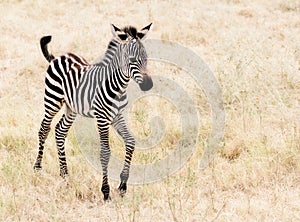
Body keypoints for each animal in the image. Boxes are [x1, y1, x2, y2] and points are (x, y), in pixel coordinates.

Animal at [34, 23, 154, 200]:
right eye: (132, 60)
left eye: (146, 58)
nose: (148, 85)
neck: (118, 87)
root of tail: (58, 57)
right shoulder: (102, 118)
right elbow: (105, 152)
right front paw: (106, 191)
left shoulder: (117, 116)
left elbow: (131, 142)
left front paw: (123, 186)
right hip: (52, 100)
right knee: (44, 129)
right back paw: (37, 168)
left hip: (72, 107)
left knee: (60, 131)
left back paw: (65, 174)